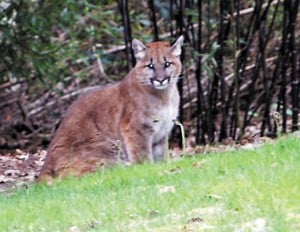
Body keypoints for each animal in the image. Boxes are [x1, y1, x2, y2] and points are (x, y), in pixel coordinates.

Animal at [37, 35, 183, 183]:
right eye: (150, 66)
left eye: (167, 64)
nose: (160, 79)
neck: (165, 96)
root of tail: (46, 163)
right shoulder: (135, 129)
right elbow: (142, 156)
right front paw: (147, 169)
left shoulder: (162, 133)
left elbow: (161, 156)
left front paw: (163, 167)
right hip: (106, 150)